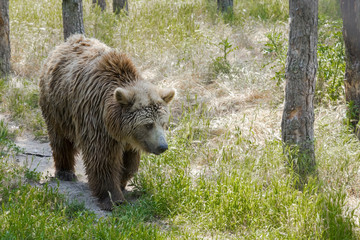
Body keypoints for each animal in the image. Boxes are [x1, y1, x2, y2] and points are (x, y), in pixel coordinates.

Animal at [39, 34, 174, 210]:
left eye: (163, 124)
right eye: (148, 124)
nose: (162, 146)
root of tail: (67, 41)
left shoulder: (129, 140)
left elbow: (129, 163)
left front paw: (122, 182)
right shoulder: (97, 122)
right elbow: (103, 161)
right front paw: (113, 199)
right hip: (57, 107)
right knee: (60, 139)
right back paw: (65, 172)